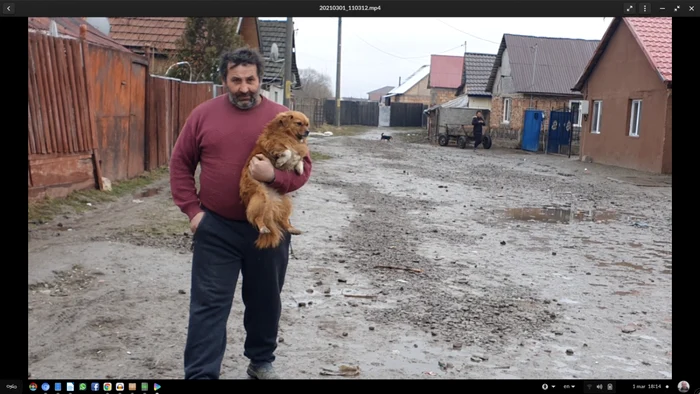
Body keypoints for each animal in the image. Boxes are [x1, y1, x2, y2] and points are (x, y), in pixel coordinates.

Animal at [239, 110, 310, 249]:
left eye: (307, 124)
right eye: (299, 123)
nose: (308, 132)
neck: (290, 136)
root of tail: (271, 203)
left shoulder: (299, 150)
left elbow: (300, 158)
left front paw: (299, 168)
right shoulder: (274, 145)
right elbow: (288, 151)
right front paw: (281, 161)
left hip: (286, 203)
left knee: (284, 221)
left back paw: (292, 228)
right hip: (260, 199)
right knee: (257, 218)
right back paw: (263, 228)